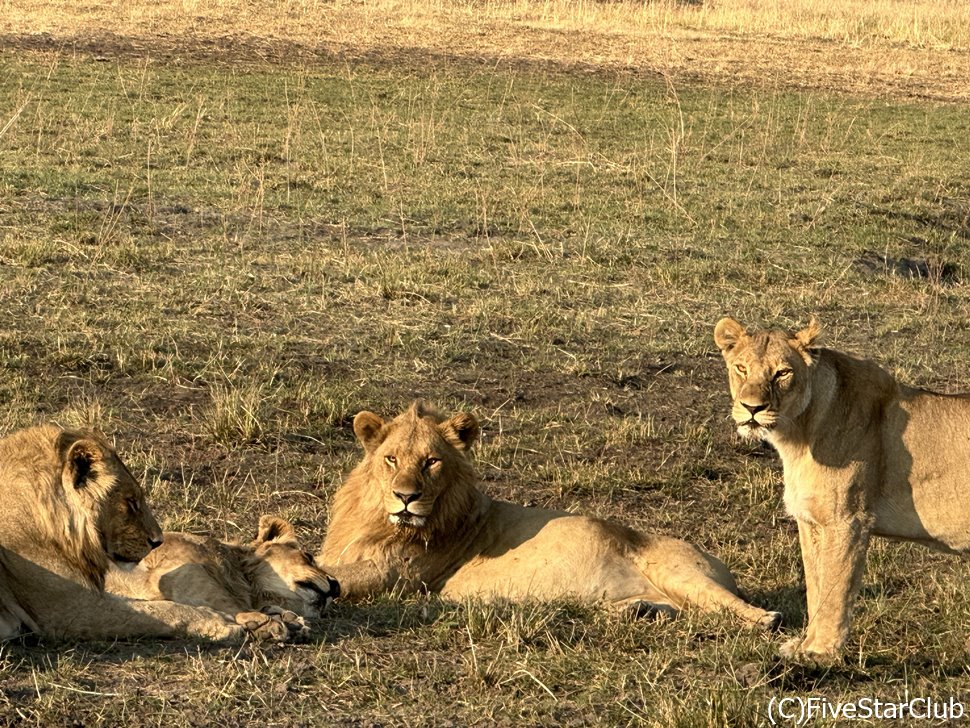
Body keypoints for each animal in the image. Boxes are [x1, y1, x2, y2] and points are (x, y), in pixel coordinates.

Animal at [0, 426, 300, 644]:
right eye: (131, 502)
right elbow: (157, 611)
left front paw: (267, 618)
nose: (158, 541)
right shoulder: (69, 610)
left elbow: (152, 601)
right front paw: (219, 621)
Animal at [106, 512, 338, 636]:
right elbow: (224, 600)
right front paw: (264, 621)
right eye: (308, 556)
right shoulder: (176, 572)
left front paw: (290, 620)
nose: (337, 586)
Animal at [318, 400, 780, 628]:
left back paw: (765, 620)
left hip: (679, 570)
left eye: (431, 462)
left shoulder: (395, 576)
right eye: (391, 459)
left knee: (727, 607)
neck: (375, 517)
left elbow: (337, 577)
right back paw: (636, 613)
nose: (405, 497)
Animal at [712, 314, 968, 660]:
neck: (797, 435)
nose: (752, 408)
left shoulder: (848, 521)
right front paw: (804, 644)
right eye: (741, 368)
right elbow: (816, 585)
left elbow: (835, 588)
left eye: (782, 373)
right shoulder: (811, 521)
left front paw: (820, 652)